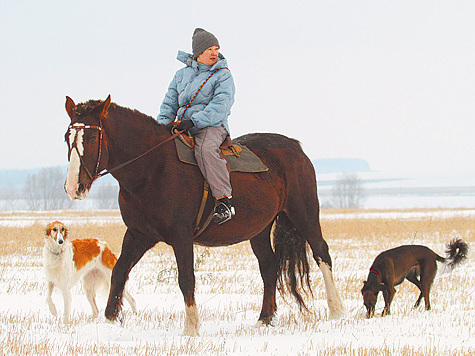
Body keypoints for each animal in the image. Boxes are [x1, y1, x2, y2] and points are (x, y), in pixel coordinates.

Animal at [64, 96, 346, 336]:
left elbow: (186, 279)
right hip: (259, 229)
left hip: (304, 213)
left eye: (92, 137)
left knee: (322, 253)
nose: (73, 187)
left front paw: (191, 328)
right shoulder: (139, 234)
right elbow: (119, 271)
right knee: (269, 265)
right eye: (68, 137)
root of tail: (295, 147)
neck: (152, 169)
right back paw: (265, 318)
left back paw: (336, 311)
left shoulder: (181, 237)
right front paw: (110, 321)